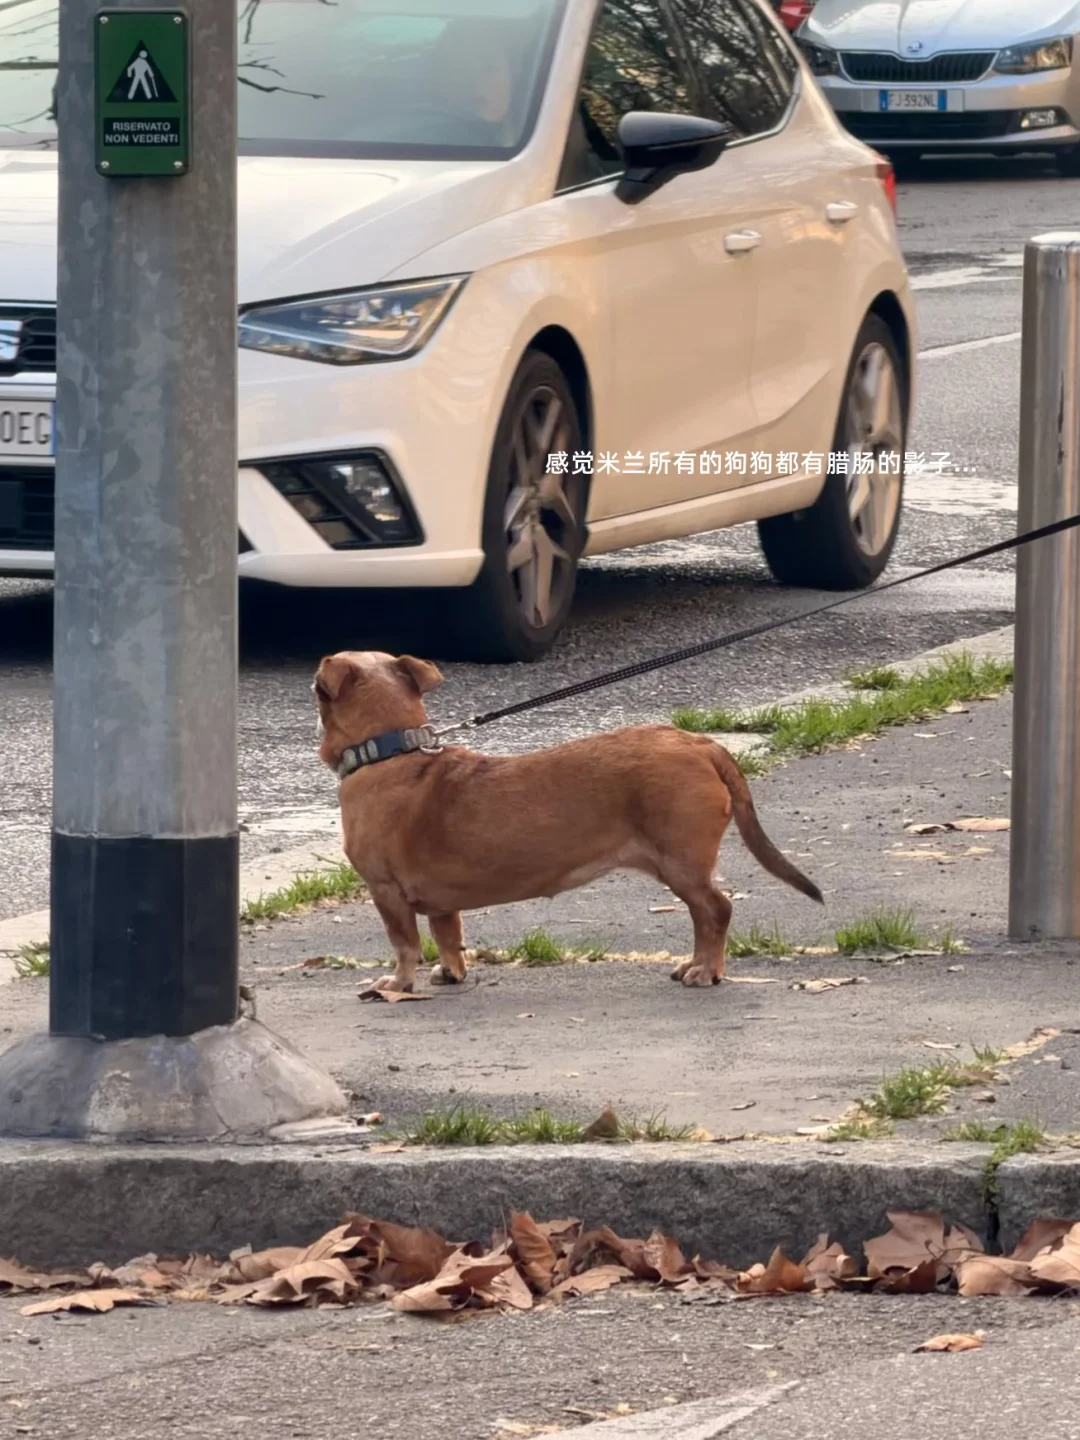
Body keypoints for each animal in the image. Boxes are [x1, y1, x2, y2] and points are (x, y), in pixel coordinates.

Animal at [314, 651, 822, 993]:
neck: (391, 753)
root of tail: (700, 744)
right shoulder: (442, 903)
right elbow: (448, 936)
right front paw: (450, 971)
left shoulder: (386, 892)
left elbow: (404, 944)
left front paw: (398, 984)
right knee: (705, 915)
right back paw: (694, 964)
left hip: (682, 864)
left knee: (717, 910)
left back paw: (707, 970)